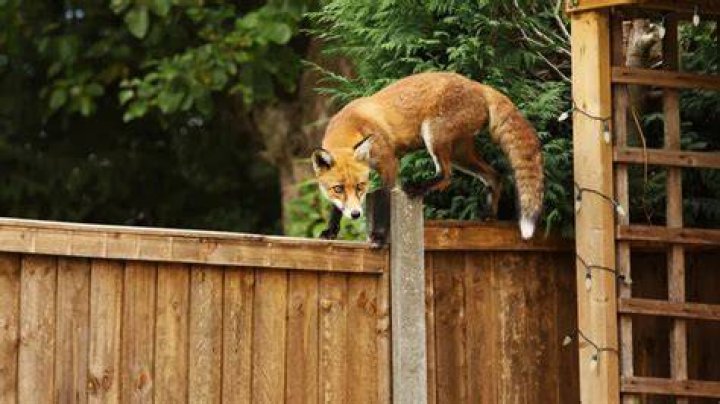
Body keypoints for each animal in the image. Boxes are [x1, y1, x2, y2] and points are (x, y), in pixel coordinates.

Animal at [311, 72, 543, 245]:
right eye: (338, 189)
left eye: (361, 186)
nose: (356, 214)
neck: (353, 124)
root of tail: (478, 85)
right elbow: (336, 208)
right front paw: (331, 230)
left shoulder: (389, 163)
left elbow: (385, 199)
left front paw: (379, 236)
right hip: (460, 154)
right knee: (494, 175)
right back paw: (488, 215)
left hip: (433, 135)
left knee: (446, 175)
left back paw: (417, 188)